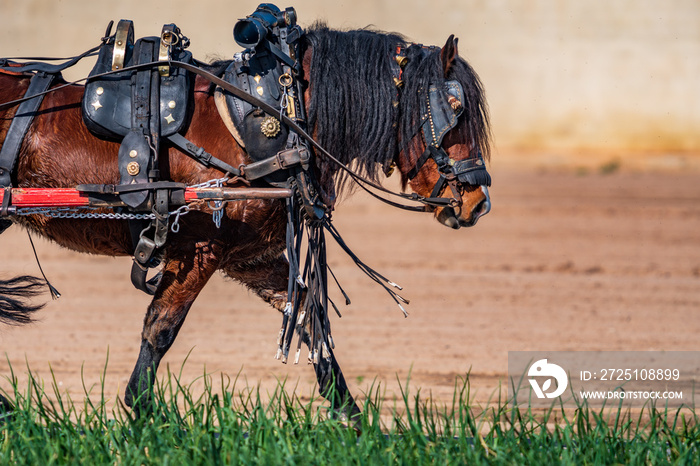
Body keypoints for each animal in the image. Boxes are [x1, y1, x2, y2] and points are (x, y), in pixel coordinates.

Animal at [0, 23, 492, 420]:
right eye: (454, 109)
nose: (477, 201)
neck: (276, 119)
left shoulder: (250, 258)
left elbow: (309, 319)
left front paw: (354, 420)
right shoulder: (197, 247)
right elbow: (160, 328)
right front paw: (144, 414)